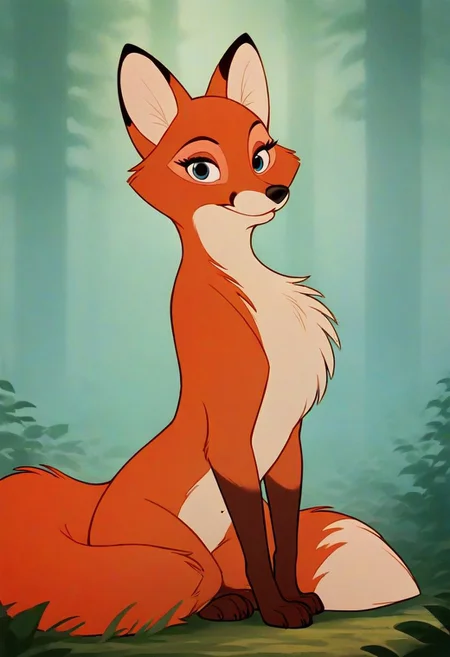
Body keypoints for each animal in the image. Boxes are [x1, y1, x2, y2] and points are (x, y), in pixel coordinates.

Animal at [0, 34, 419, 635]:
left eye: (261, 154)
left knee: (231, 567)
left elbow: (283, 538)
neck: (252, 287)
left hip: (211, 544)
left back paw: (237, 598)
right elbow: (259, 545)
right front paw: (278, 611)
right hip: (185, 552)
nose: (274, 189)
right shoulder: (229, 443)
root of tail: (95, 504)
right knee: (201, 582)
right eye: (201, 168)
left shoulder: (287, 443)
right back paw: (227, 604)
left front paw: (297, 598)